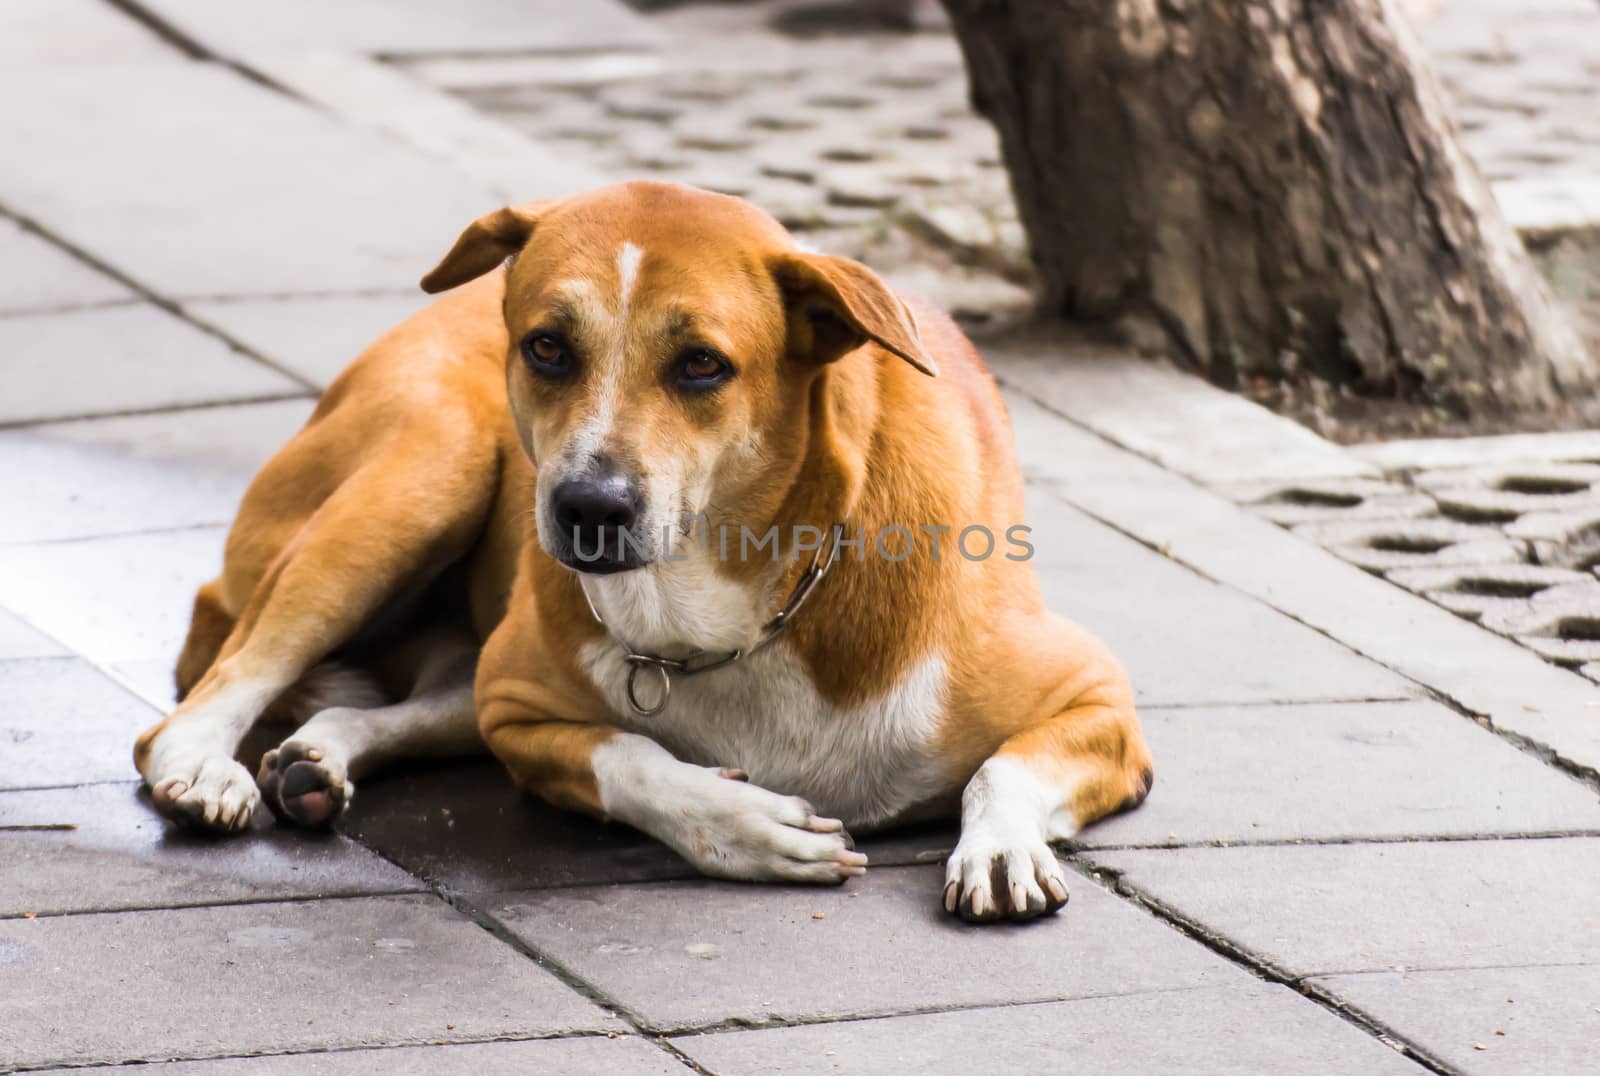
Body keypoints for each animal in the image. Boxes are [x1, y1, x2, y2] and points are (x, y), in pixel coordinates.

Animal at [128, 180, 1152, 922]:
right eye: (547, 346)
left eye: (702, 363)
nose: (589, 506)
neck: (733, 608)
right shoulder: (521, 712)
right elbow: (628, 755)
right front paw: (741, 825)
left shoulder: (1102, 698)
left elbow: (1003, 765)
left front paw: (1000, 848)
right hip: (426, 469)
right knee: (212, 690)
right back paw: (204, 768)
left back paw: (317, 758)